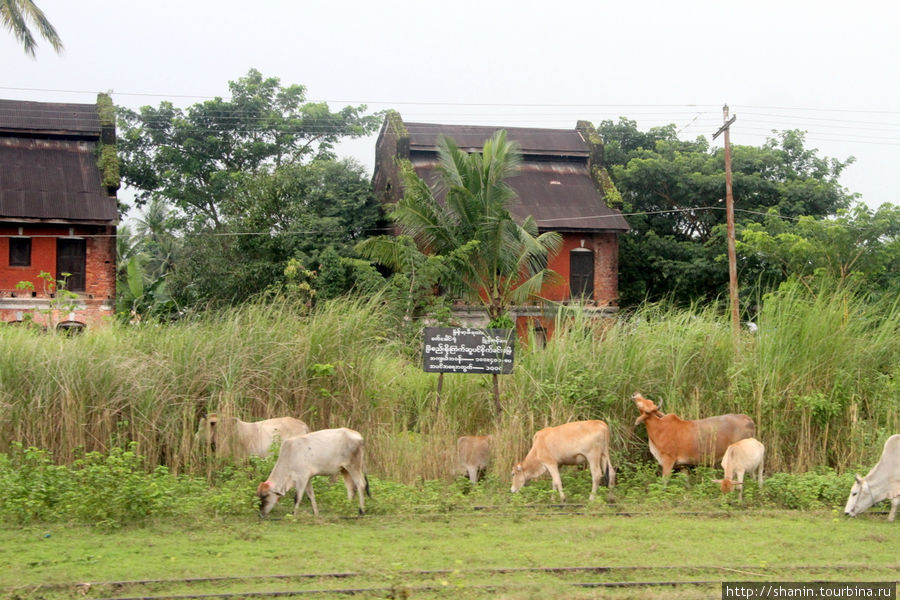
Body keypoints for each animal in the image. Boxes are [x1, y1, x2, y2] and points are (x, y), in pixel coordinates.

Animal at [632, 394, 760, 478]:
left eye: (642, 404)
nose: (635, 394)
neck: (659, 427)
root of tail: (748, 420)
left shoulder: (668, 461)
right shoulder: (683, 465)